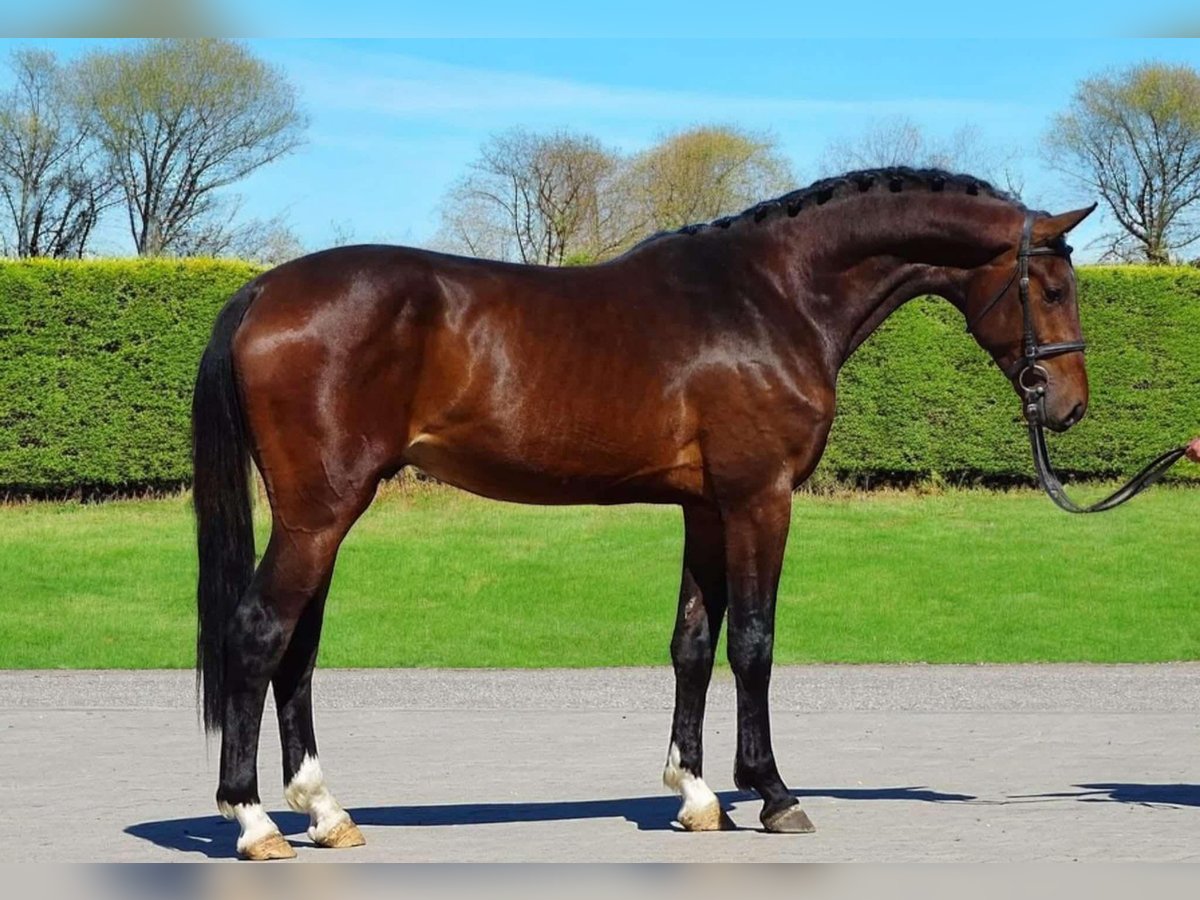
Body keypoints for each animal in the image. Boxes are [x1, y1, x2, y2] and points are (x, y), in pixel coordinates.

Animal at [194, 165, 1099, 864]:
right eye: (1053, 287)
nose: (1068, 407)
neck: (772, 295)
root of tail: (262, 290)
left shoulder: (706, 507)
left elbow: (692, 644)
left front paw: (696, 795)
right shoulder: (760, 497)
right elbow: (755, 643)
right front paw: (773, 793)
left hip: (321, 516)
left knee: (298, 649)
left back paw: (325, 813)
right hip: (320, 513)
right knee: (260, 635)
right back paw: (252, 821)